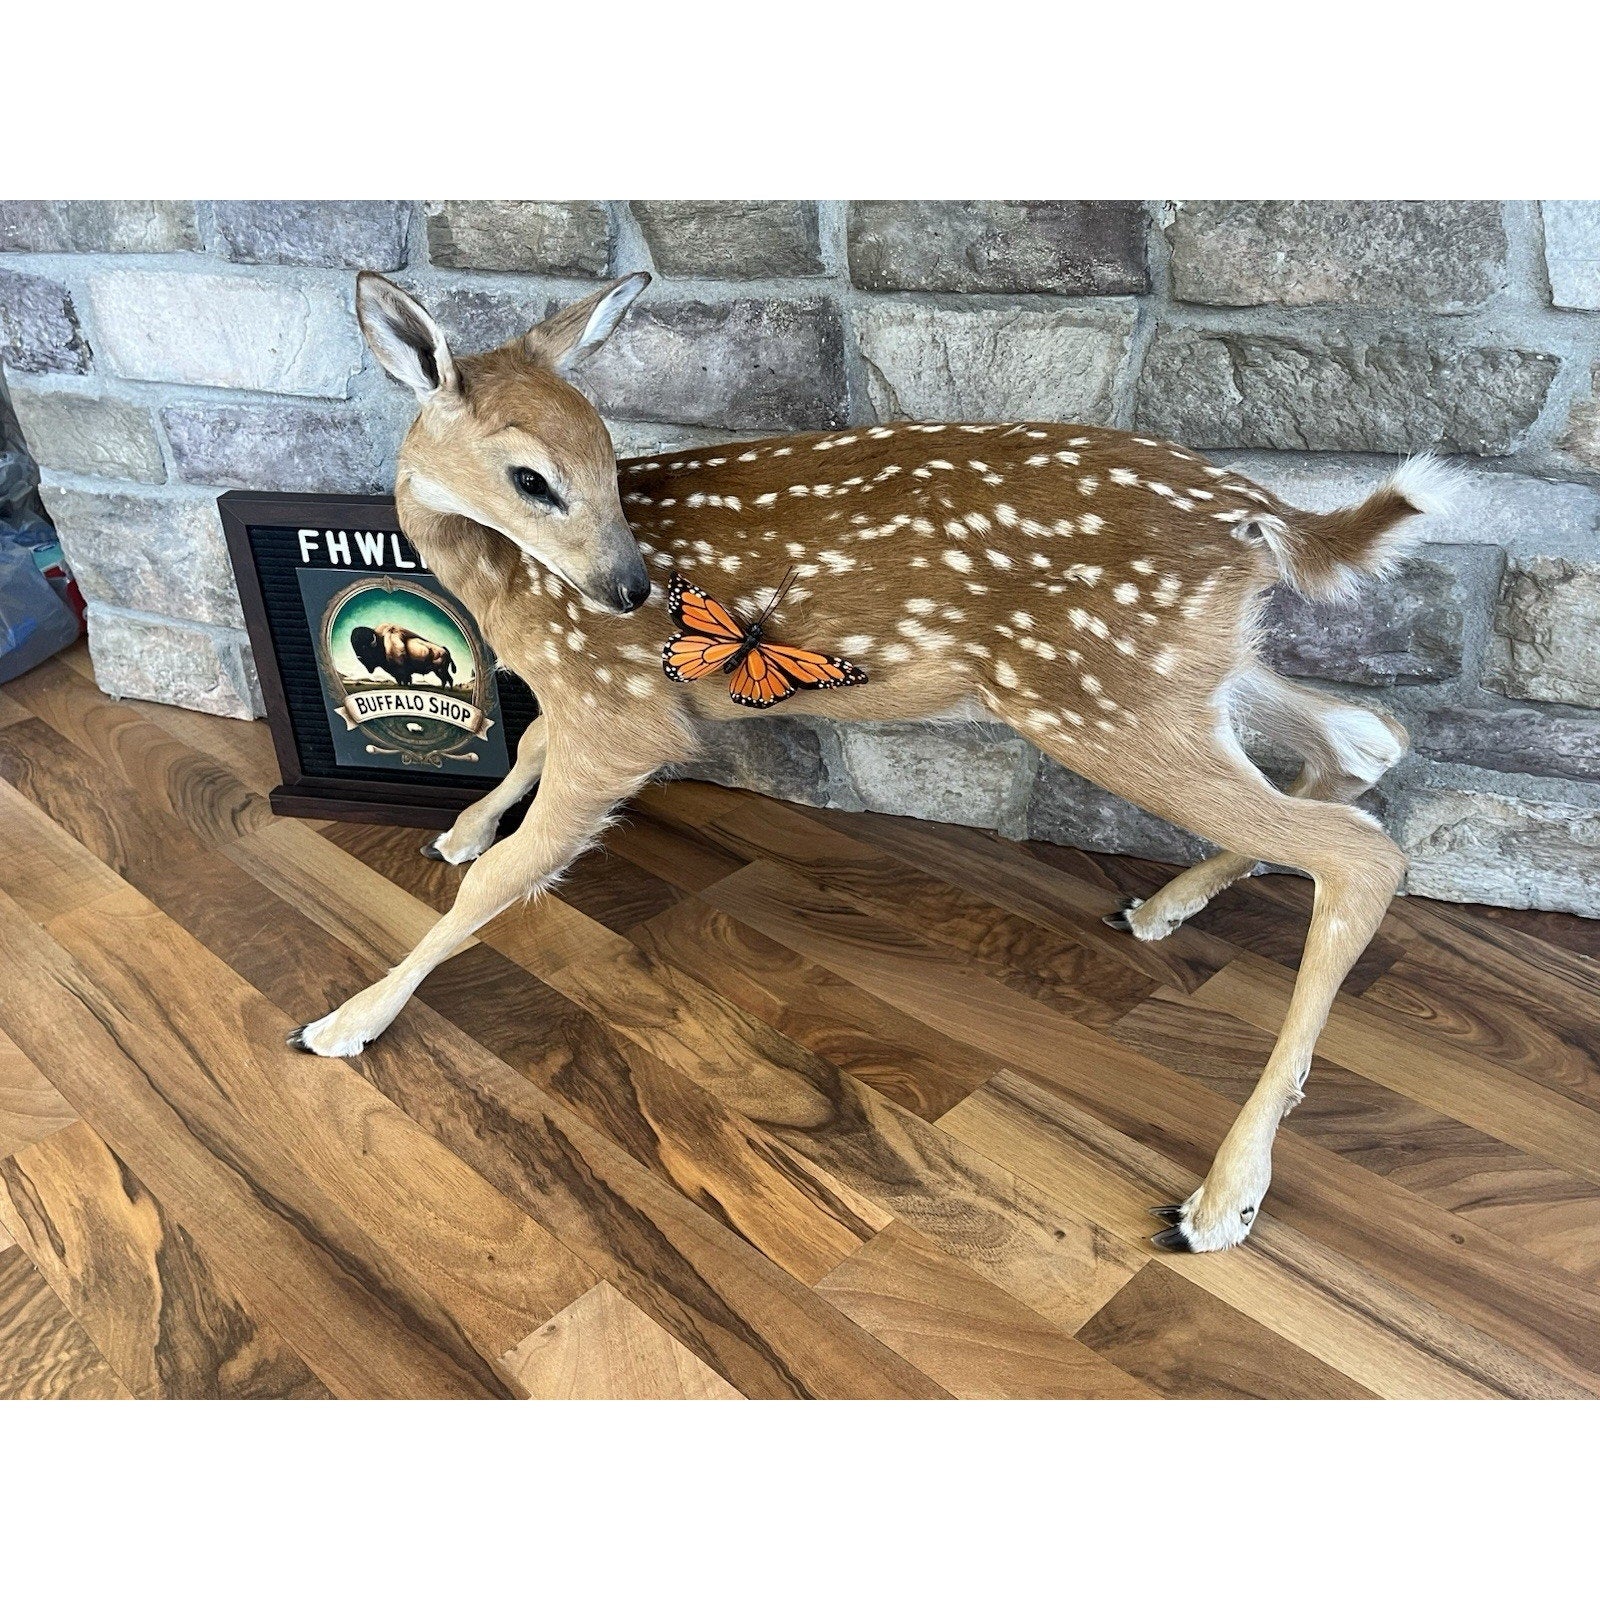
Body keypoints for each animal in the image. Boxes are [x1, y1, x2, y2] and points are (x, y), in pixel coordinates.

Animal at [286, 268, 1459, 1254]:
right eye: (532, 477)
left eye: (609, 464)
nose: (630, 592)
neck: (507, 593)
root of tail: (1256, 516)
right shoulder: (594, 700)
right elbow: (521, 750)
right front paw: (456, 826)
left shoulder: (621, 709)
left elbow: (504, 879)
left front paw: (346, 1020)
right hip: (1185, 671)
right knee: (1366, 740)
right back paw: (1166, 906)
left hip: (1093, 693)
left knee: (1361, 852)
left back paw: (1220, 1200)